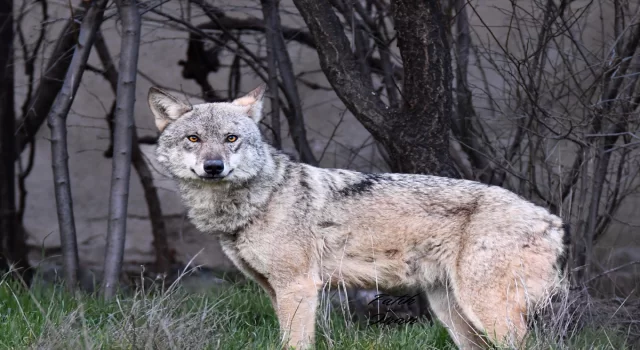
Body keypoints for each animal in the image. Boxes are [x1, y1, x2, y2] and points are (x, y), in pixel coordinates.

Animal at [149, 85, 568, 350]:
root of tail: (552, 220)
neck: (260, 199)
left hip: (485, 310)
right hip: (453, 313)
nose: (213, 167)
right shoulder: (274, 290)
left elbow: (295, 343)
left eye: (231, 139)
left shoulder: (299, 287)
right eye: (193, 139)